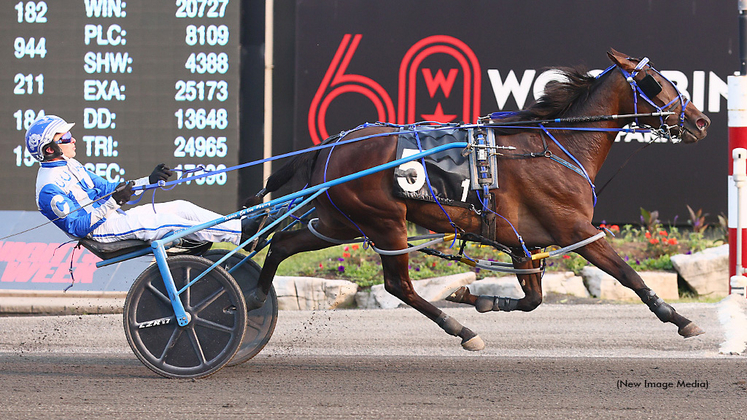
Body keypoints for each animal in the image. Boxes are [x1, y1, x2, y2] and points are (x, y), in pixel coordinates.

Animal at [248, 50, 712, 352]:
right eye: (658, 83)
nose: (701, 120)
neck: (557, 146)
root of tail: (329, 145)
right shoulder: (574, 229)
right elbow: (628, 275)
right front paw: (681, 319)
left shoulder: (524, 241)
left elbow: (532, 299)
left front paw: (476, 298)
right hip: (384, 223)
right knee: (399, 285)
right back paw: (461, 331)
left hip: (340, 222)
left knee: (283, 244)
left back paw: (254, 298)